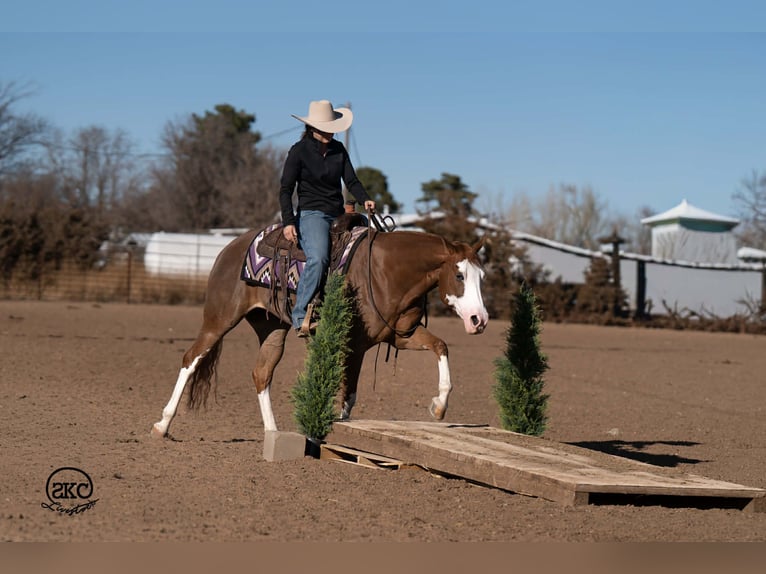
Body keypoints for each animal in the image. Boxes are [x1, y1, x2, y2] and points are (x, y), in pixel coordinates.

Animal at [150, 221, 489, 438]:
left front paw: (439, 407)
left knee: (261, 374)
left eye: (482, 276)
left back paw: (273, 432)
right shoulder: (355, 343)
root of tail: (229, 249)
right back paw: (162, 425)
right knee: (191, 359)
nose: (479, 319)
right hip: (219, 319)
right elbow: (348, 394)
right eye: (459, 275)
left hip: (272, 328)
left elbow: (441, 347)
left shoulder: (400, 337)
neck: (387, 272)